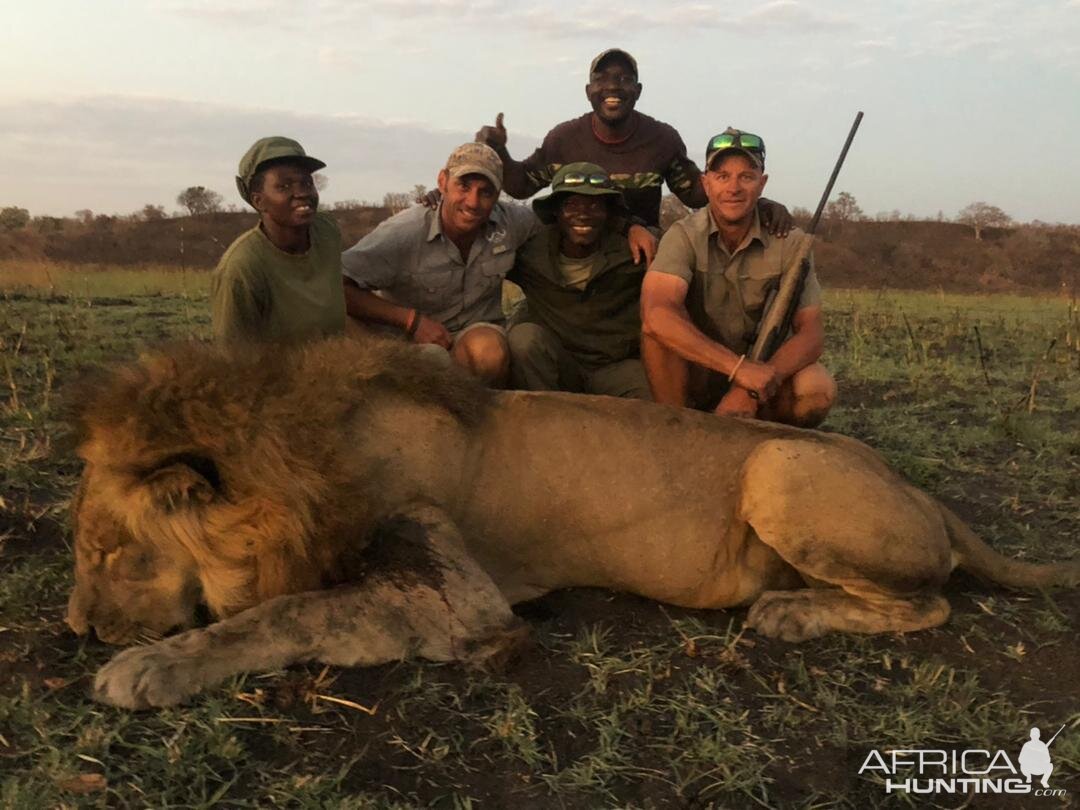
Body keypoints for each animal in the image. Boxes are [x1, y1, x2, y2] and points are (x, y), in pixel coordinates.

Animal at [69, 332, 1080, 708]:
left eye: (111, 552)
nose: (77, 628)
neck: (304, 459)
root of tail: (922, 489)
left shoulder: (459, 599)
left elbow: (284, 614)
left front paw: (145, 667)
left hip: (780, 468)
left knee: (931, 605)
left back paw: (789, 613)